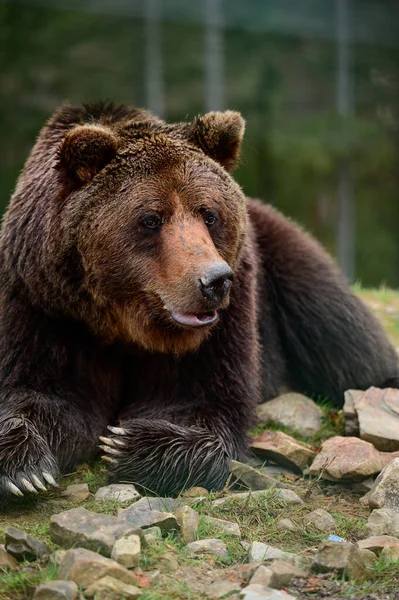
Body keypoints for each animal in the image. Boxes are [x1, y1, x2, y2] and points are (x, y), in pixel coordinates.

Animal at [0, 103, 399, 502]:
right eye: (151, 218)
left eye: (209, 213)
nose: (214, 280)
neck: (126, 325)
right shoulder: (44, 306)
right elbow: (46, 395)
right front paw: (24, 469)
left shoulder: (227, 318)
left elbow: (203, 404)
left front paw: (128, 443)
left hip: (285, 261)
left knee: (341, 335)